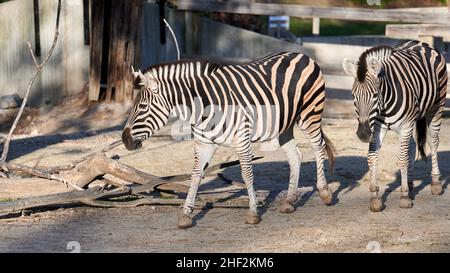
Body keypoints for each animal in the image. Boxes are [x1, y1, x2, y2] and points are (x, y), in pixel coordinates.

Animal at [122, 51, 334, 227]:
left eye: (142, 108)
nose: (124, 140)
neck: (203, 106)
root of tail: (302, 54)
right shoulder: (204, 144)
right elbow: (195, 175)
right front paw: (186, 214)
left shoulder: (242, 140)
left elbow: (247, 174)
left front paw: (253, 212)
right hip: (284, 125)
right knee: (295, 157)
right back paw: (289, 201)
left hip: (310, 114)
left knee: (318, 148)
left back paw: (325, 193)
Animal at [342, 40, 448, 210]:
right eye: (353, 96)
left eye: (375, 95)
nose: (363, 134)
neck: (385, 103)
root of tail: (421, 43)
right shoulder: (377, 128)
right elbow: (372, 157)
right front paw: (375, 198)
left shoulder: (405, 126)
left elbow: (402, 158)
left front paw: (404, 197)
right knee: (412, 146)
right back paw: (410, 183)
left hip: (436, 107)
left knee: (433, 143)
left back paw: (436, 184)